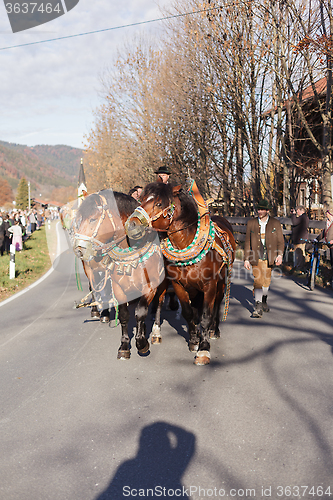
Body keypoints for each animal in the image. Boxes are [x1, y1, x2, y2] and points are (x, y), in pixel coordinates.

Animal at [72, 188, 166, 360]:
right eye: (78, 221)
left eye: (93, 219)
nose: (79, 249)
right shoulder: (117, 288)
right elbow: (123, 314)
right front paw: (124, 345)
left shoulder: (150, 287)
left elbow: (140, 312)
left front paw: (141, 343)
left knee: (159, 304)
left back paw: (156, 333)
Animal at [125, 182, 236, 366]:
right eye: (142, 199)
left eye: (159, 203)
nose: (132, 225)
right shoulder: (178, 285)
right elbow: (188, 312)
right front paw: (194, 340)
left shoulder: (209, 285)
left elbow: (206, 315)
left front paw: (203, 349)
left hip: (220, 282)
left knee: (217, 305)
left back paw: (214, 330)